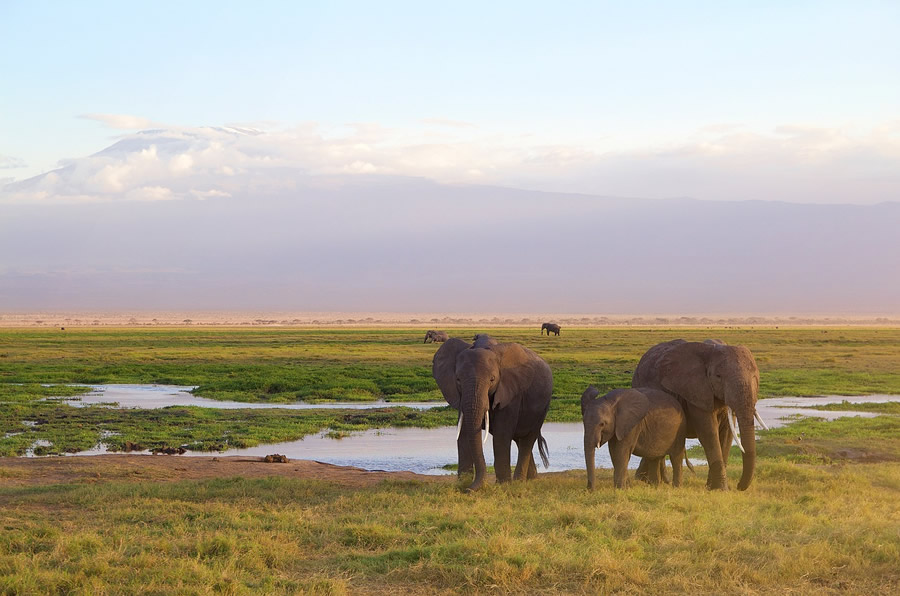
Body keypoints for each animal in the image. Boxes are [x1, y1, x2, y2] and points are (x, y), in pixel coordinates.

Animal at [432, 336, 552, 488]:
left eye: (492, 379)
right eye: (458, 379)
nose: (468, 489)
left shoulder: (511, 393)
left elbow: (501, 434)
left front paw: (503, 485)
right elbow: (464, 432)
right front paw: (463, 483)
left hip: (542, 408)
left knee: (527, 440)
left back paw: (519, 481)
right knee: (519, 440)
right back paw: (531, 479)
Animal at [628, 338, 764, 492]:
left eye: (755, 376)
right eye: (718, 376)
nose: (739, 486)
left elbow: (727, 434)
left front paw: (713, 487)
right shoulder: (695, 391)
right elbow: (709, 432)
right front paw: (720, 489)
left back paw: (651, 480)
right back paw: (650, 481)